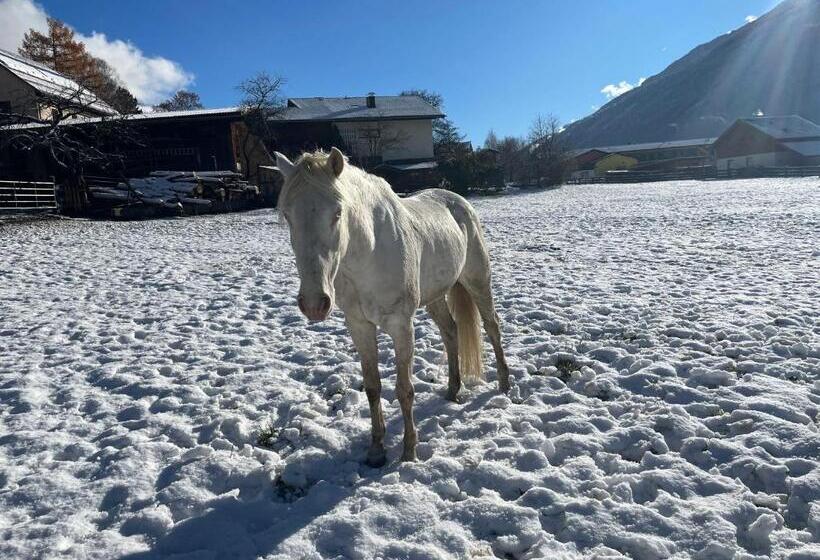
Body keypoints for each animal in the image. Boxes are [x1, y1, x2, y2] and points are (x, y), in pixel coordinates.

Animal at [274, 147, 506, 466]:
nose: (313, 303)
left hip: (477, 280)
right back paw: (452, 389)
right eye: (287, 215)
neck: (369, 253)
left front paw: (408, 451)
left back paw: (505, 385)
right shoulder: (359, 326)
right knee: (451, 332)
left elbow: (404, 389)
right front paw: (376, 450)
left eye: (338, 212)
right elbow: (373, 387)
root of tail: (458, 202)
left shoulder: (401, 325)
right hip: (436, 296)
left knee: (492, 325)